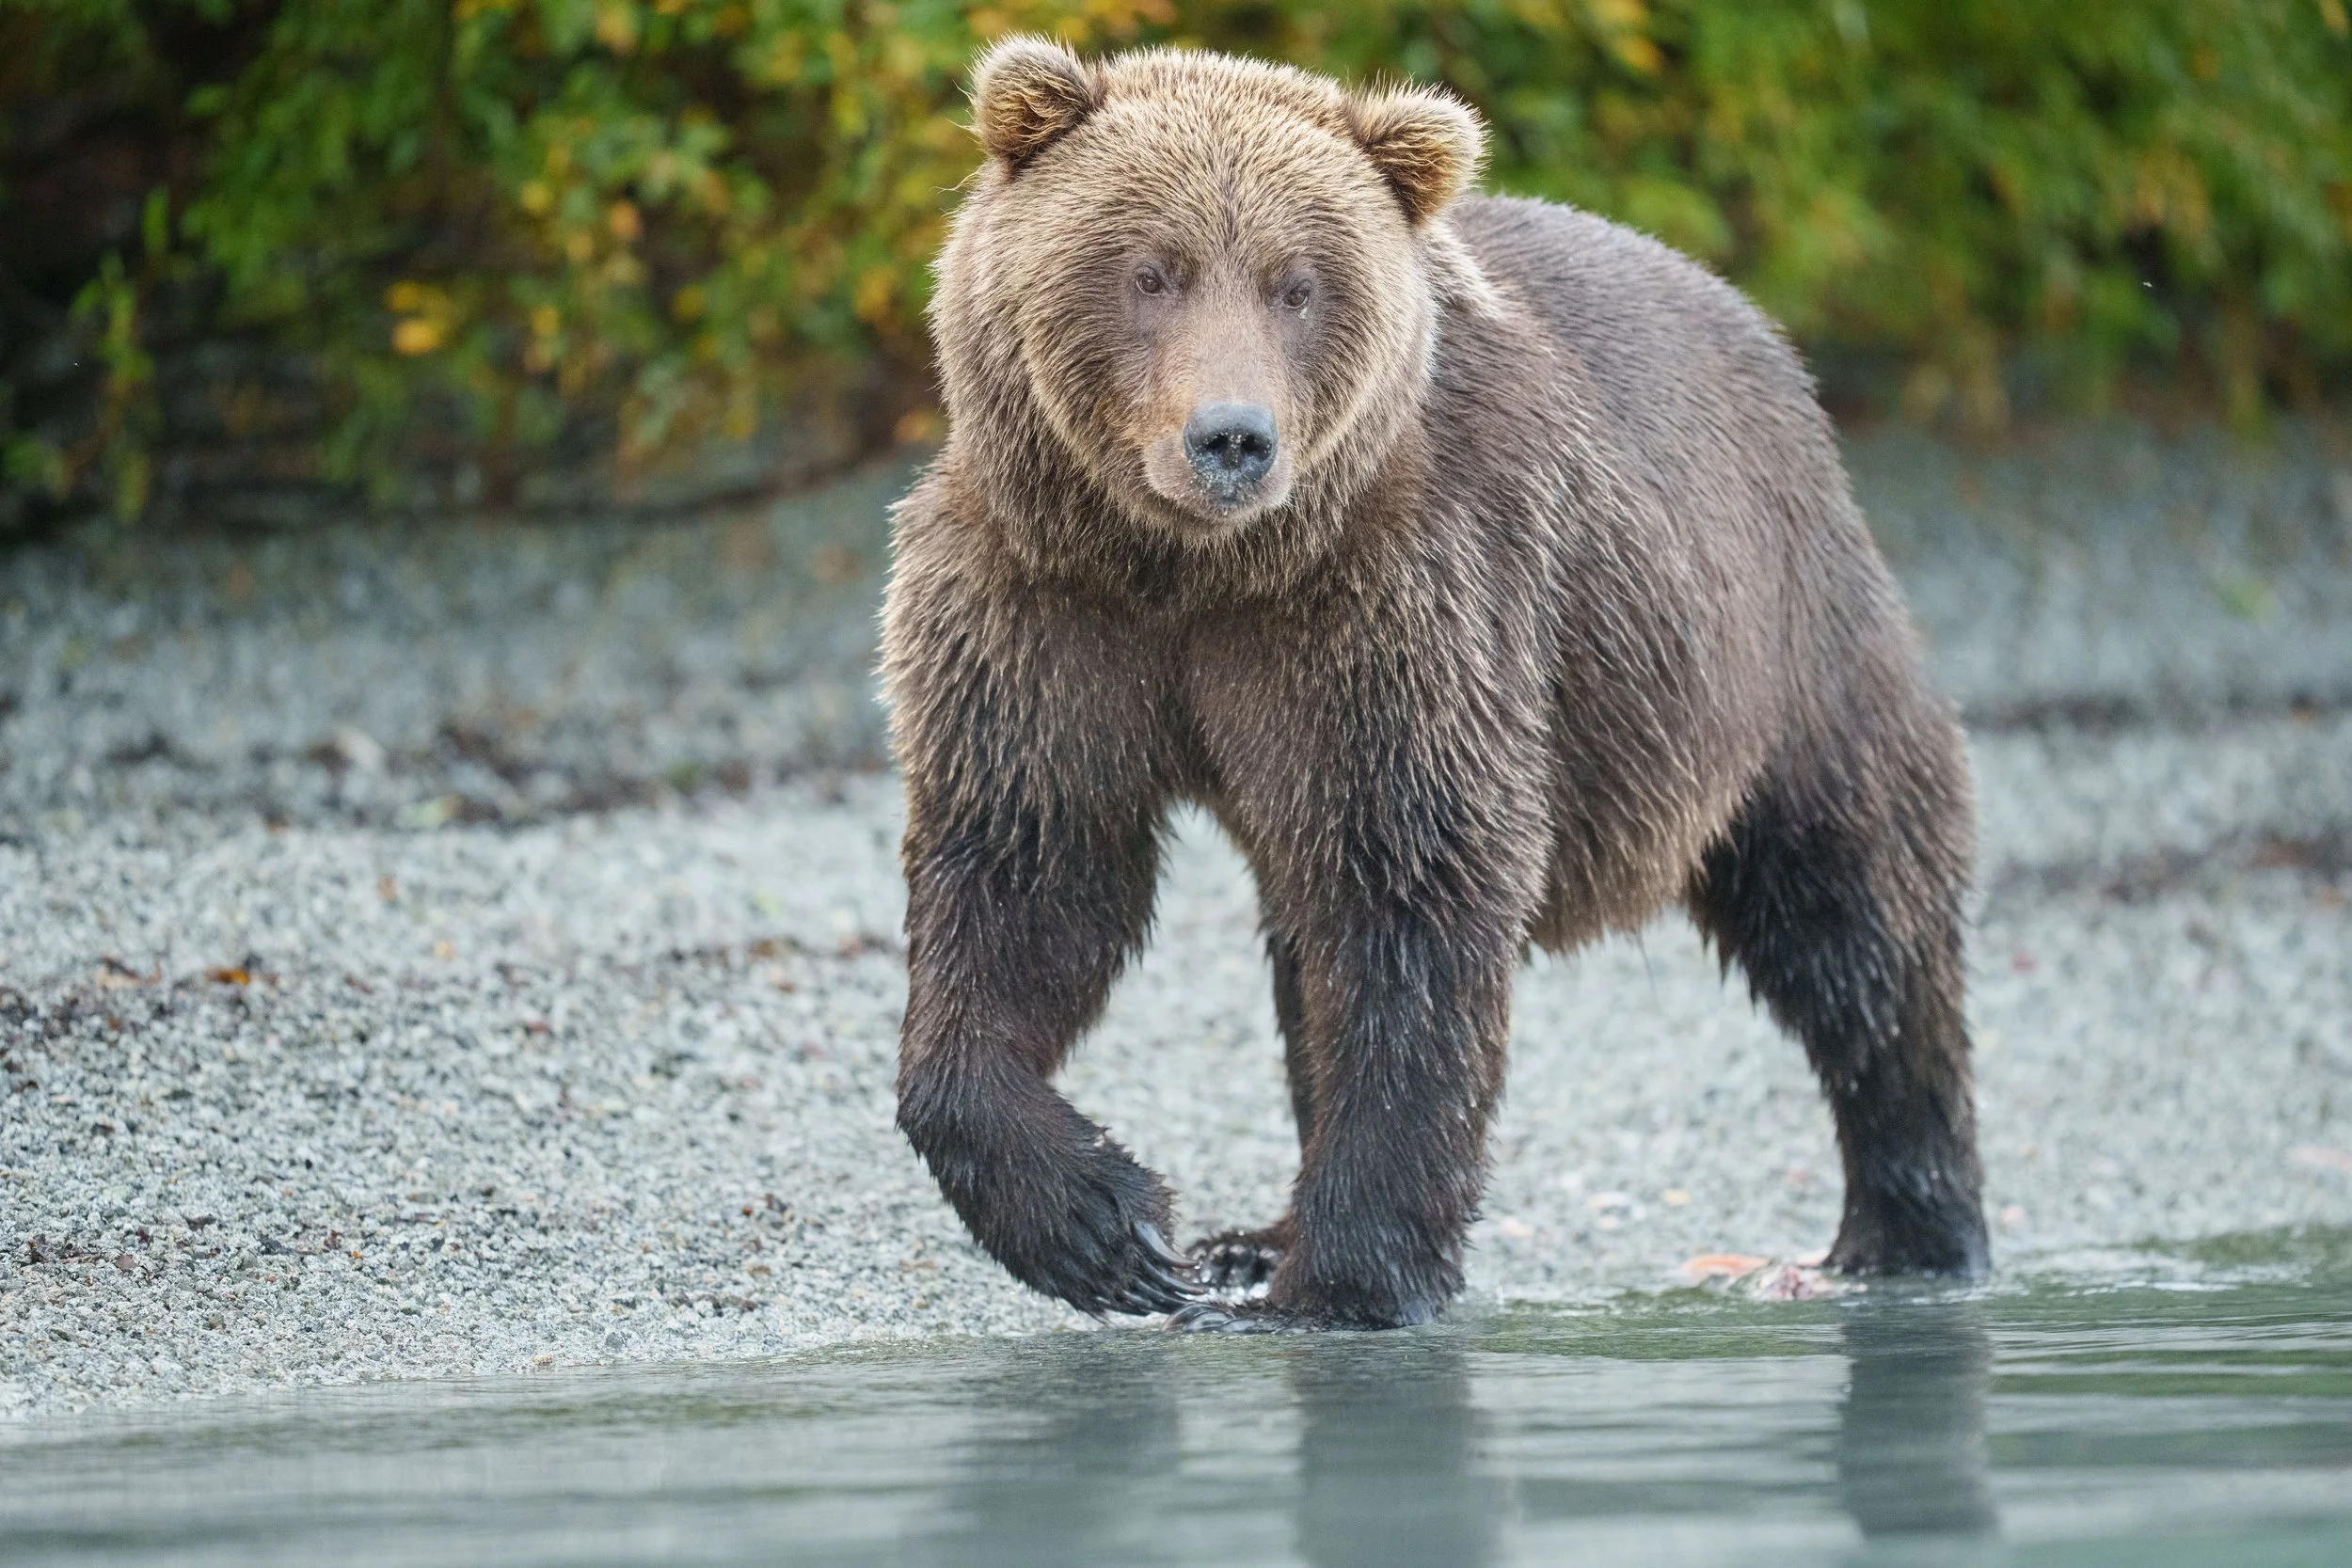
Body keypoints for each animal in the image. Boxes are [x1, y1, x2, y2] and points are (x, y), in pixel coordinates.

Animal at [881, 38, 1987, 1332]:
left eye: (1297, 284)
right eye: (1150, 269)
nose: (1230, 438)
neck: (1195, 570)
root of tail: (1767, 343)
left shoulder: (1395, 607)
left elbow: (1410, 891)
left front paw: (1339, 1283)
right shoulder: (1043, 609)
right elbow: (1030, 869)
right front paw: (1111, 1226)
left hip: (1779, 652)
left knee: (1855, 915)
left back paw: (1905, 1226)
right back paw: (1253, 1236)